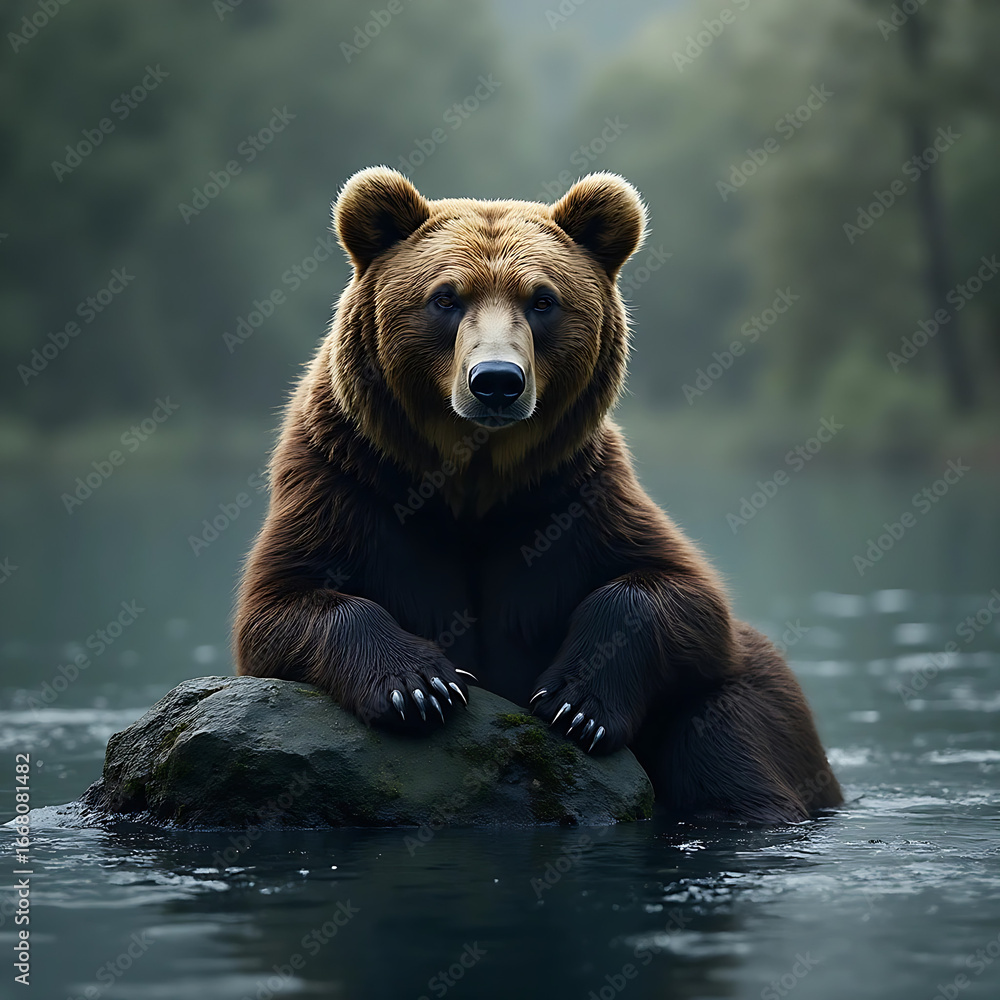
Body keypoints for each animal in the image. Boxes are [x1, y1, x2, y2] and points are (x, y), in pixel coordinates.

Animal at [233, 166, 843, 823]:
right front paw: (420, 687)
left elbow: (679, 593)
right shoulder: (349, 483)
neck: (474, 483)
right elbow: (284, 605)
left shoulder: (572, 499)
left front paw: (576, 703)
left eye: (542, 300)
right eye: (446, 297)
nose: (497, 381)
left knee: (729, 729)